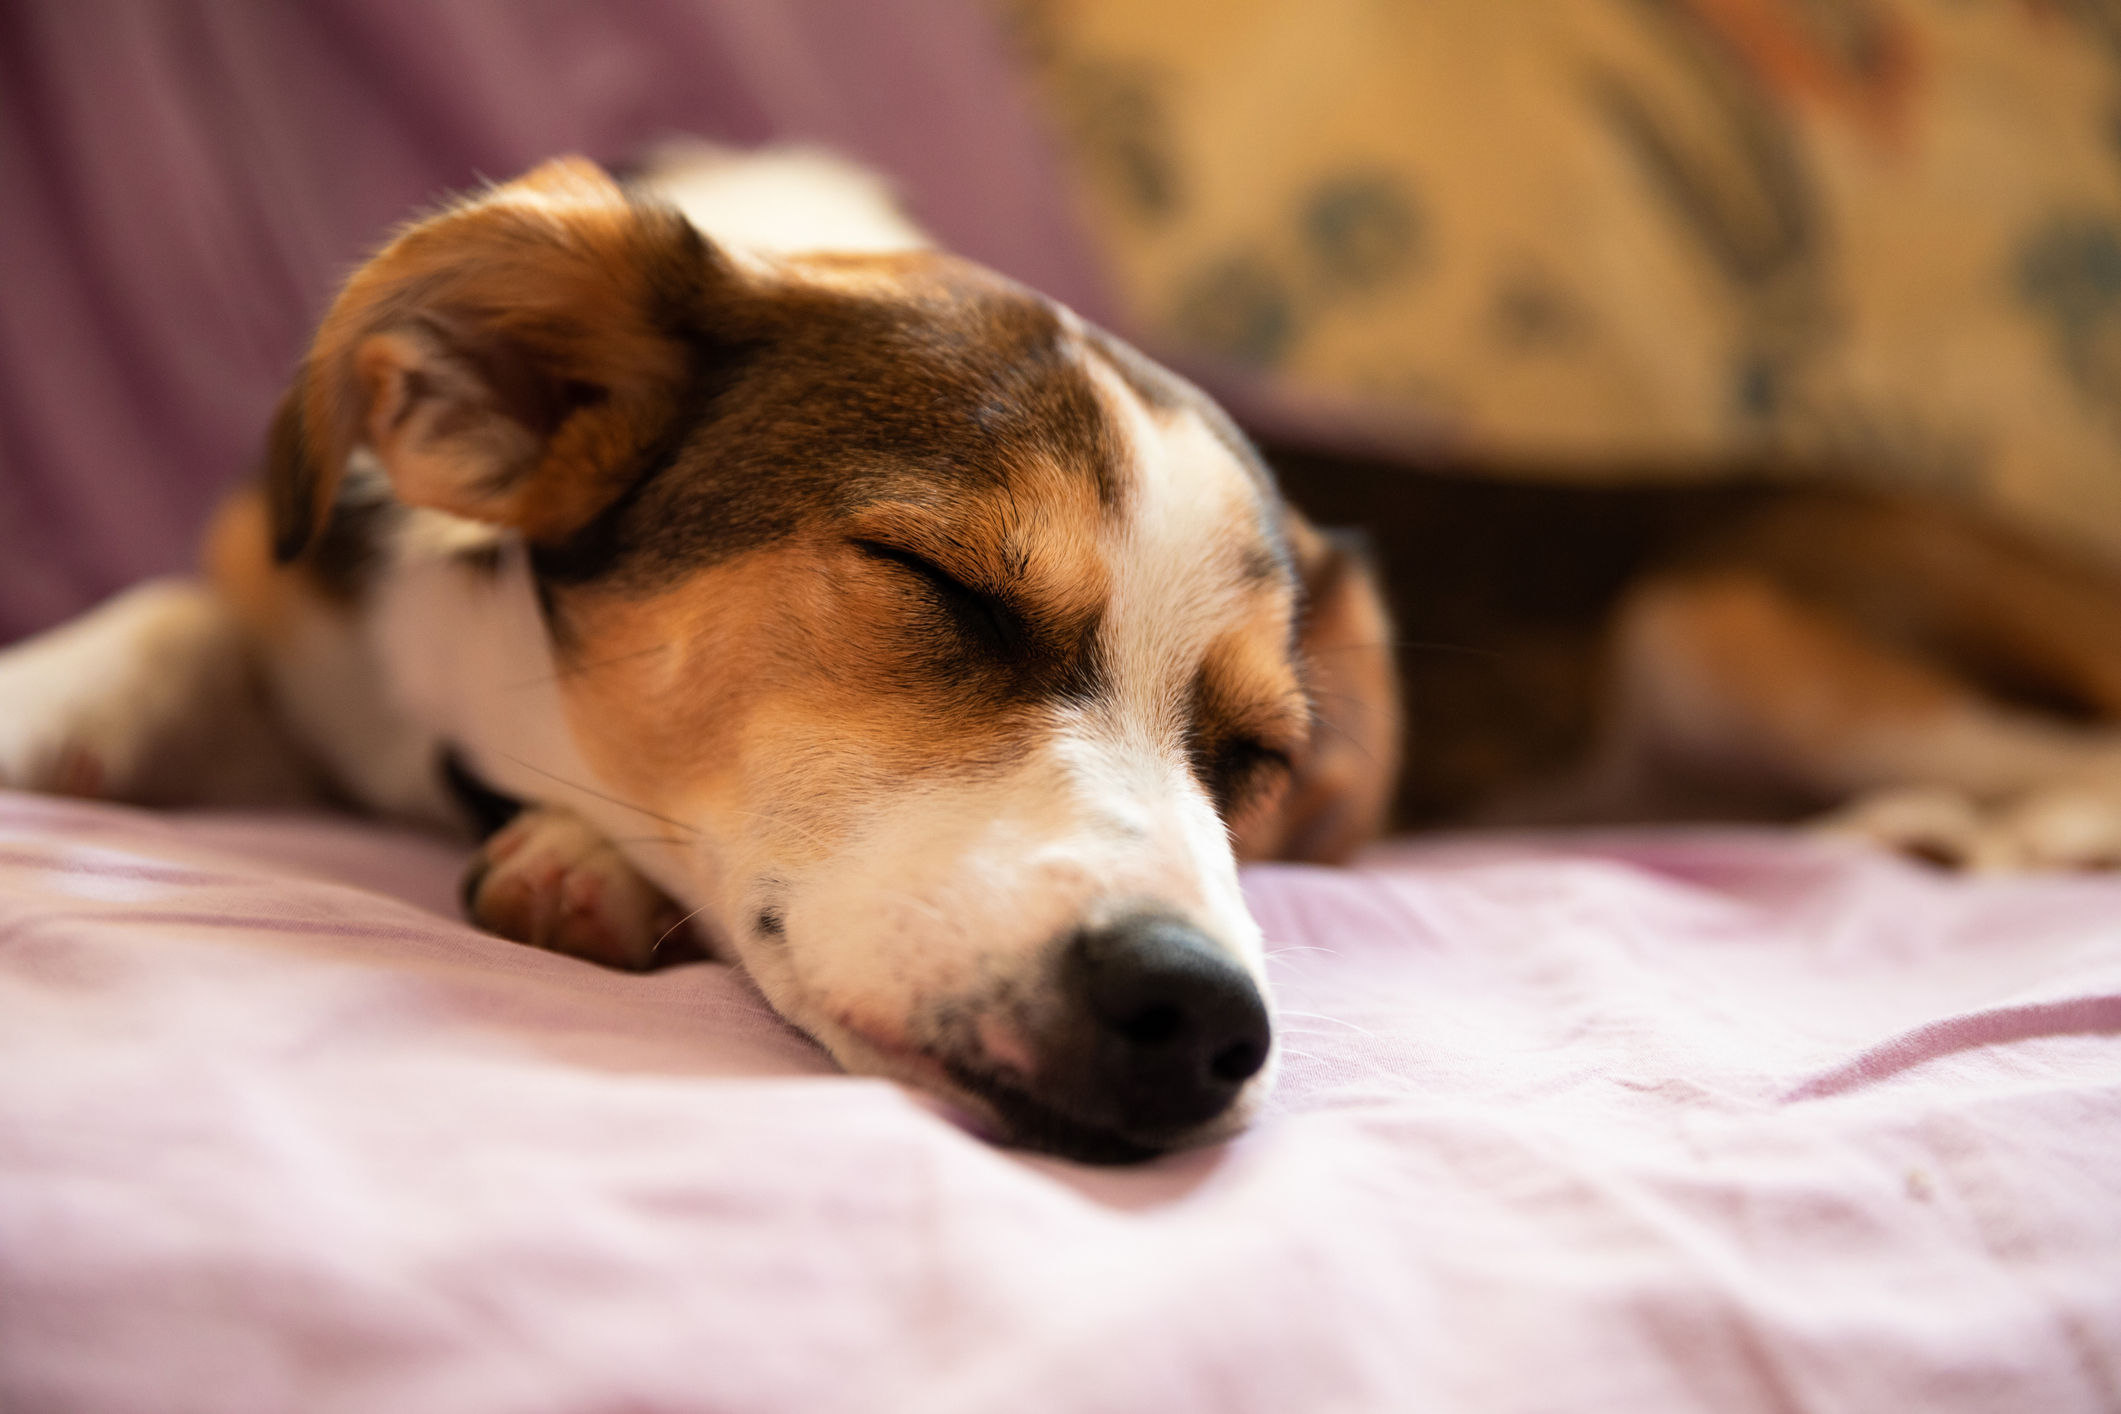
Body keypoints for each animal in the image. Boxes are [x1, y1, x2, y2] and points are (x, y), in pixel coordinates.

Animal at [0, 154, 1408, 1170]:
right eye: (938, 581)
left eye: (1260, 757)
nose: (1201, 1020)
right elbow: (181, 609)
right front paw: (47, 696)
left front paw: (582, 862)